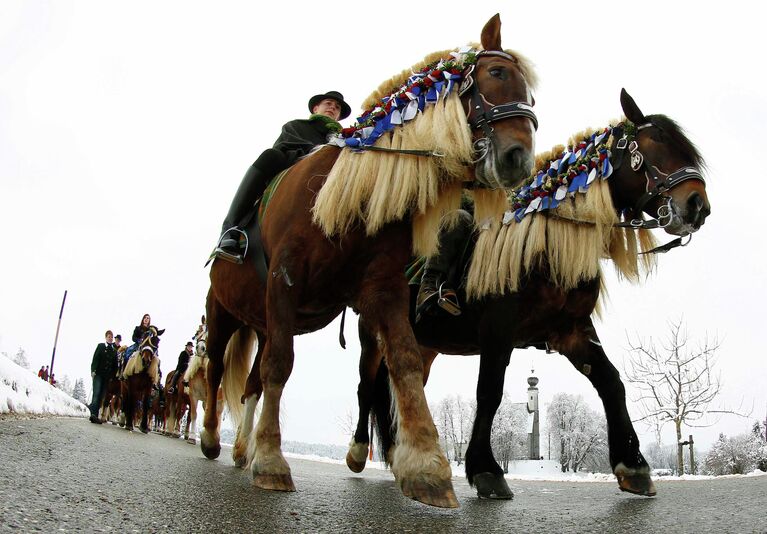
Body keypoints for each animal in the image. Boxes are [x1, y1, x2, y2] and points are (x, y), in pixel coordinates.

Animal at [204, 12, 540, 508]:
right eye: (497, 73)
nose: (519, 159)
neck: (346, 194)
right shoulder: (285, 279)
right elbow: (281, 365)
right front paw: (272, 460)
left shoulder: (382, 291)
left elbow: (404, 362)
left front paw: (426, 467)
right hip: (222, 313)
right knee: (214, 369)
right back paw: (213, 438)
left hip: (264, 321)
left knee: (251, 382)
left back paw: (242, 447)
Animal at [344, 89, 712, 502]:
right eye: (655, 144)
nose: (698, 205)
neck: (545, 244)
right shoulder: (498, 331)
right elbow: (489, 392)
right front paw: (486, 470)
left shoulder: (572, 332)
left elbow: (611, 383)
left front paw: (632, 465)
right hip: (373, 336)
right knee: (366, 386)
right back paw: (360, 452)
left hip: (425, 345)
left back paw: (400, 454)